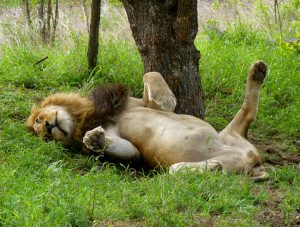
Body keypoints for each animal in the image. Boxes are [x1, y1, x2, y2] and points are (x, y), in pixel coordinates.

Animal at [27, 61, 268, 180]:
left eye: (39, 120)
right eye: (44, 138)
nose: (47, 127)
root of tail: (252, 159)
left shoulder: (139, 102)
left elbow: (151, 74)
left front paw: (166, 98)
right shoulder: (132, 151)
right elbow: (131, 150)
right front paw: (95, 140)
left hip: (229, 134)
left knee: (248, 111)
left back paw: (258, 71)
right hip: (230, 161)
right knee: (177, 170)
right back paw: (212, 167)